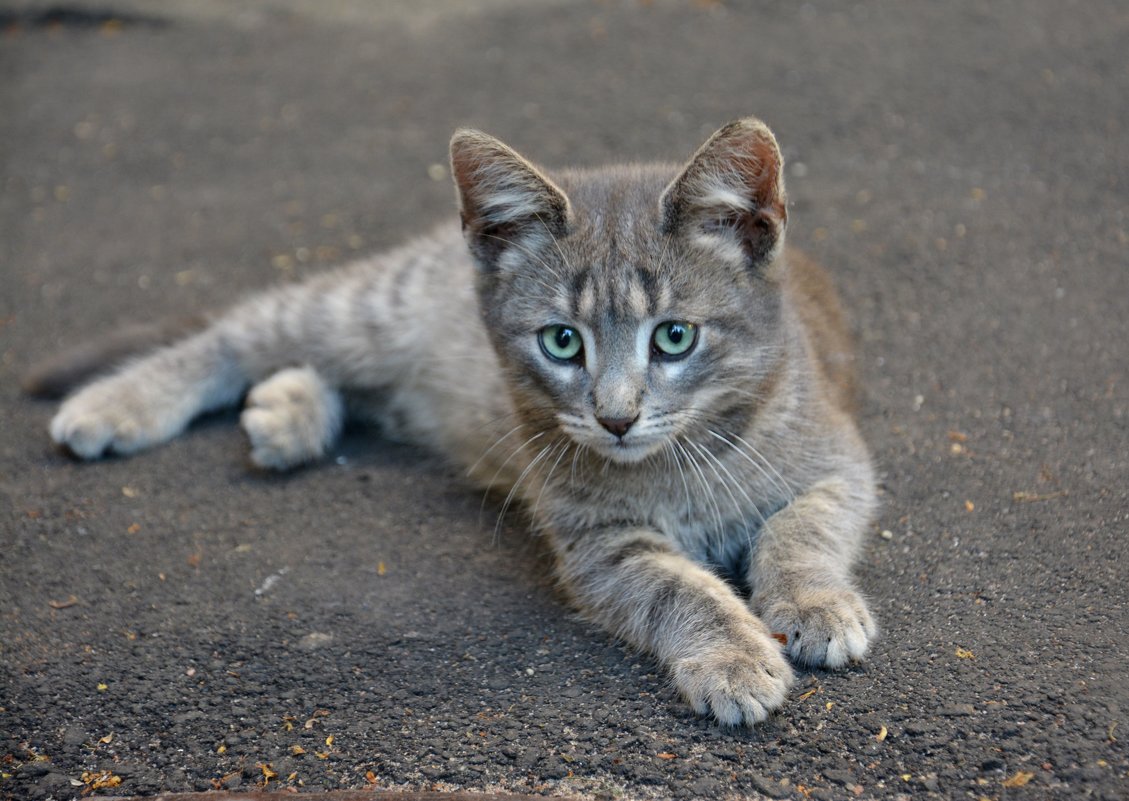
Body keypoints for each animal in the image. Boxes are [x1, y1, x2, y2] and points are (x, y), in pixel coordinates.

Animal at [39, 118, 876, 723]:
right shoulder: (597, 544)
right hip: (364, 314)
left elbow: (799, 527)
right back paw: (118, 400)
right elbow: (677, 587)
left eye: (674, 336)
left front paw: (813, 600)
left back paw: (289, 413)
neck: (679, 457)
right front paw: (731, 653)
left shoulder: (838, 458)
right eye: (561, 341)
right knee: (237, 331)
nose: (614, 417)